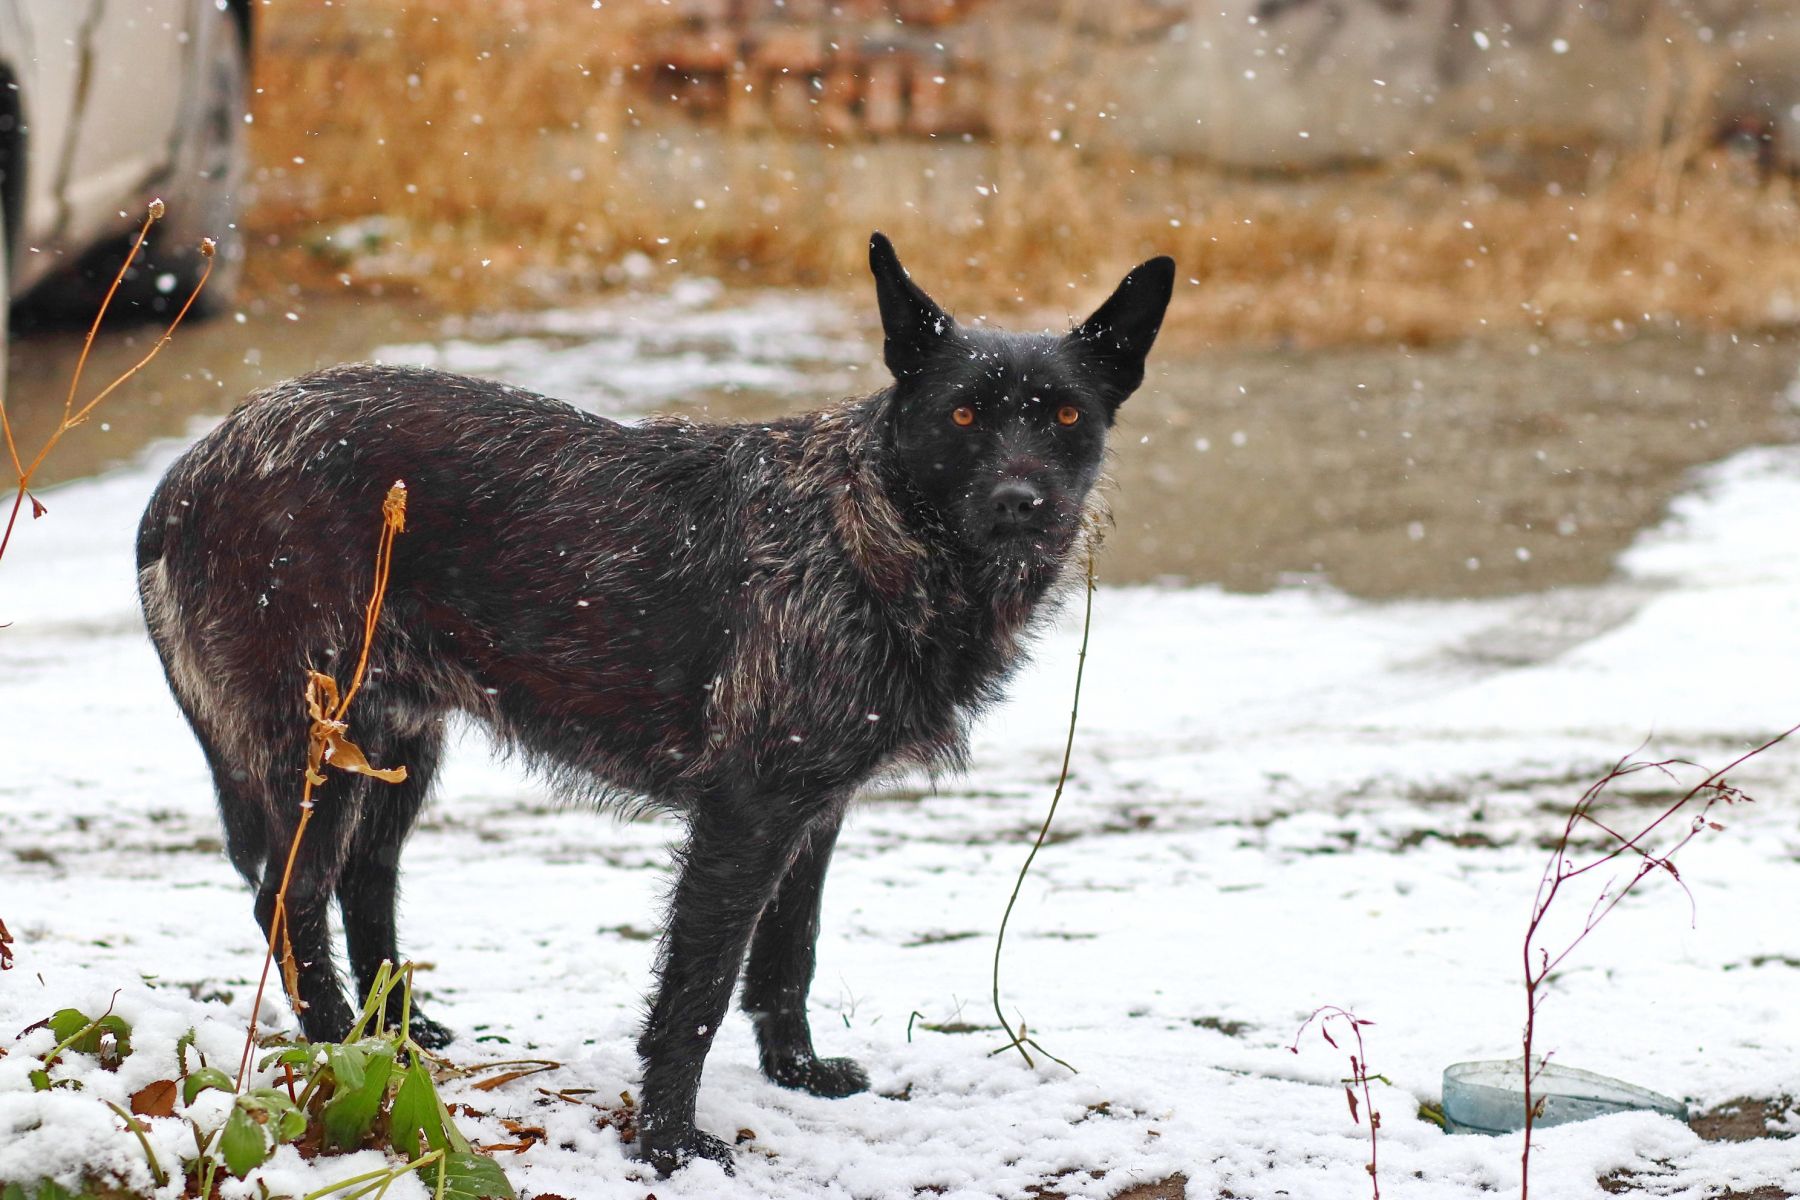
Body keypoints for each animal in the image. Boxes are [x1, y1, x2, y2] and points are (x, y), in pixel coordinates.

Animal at [133, 233, 1173, 1173]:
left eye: (1066, 415)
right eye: (962, 414)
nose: (1021, 503)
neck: (867, 529)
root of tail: (193, 465)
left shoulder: (813, 815)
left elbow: (787, 958)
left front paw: (796, 1074)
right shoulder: (743, 820)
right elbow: (696, 995)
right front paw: (669, 1144)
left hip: (395, 746)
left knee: (364, 881)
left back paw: (397, 1036)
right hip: (321, 744)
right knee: (290, 900)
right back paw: (339, 1051)